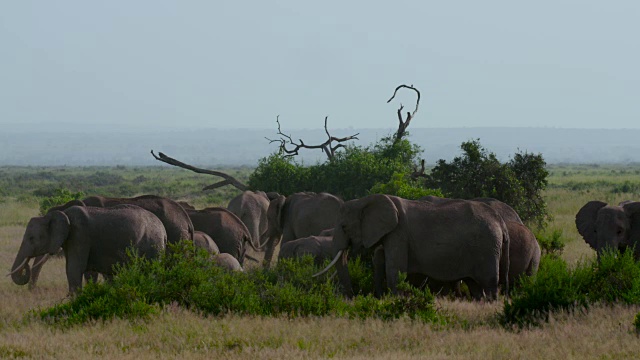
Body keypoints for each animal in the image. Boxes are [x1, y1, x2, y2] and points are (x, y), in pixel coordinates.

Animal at [10, 205, 165, 296]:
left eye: (31, 238)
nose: (25, 266)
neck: (63, 214)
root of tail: (163, 230)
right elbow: (85, 271)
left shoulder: (80, 235)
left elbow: (74, 269)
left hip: (152, 244)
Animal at [316, 195, 510, 300]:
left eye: (344, 227)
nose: (352, 297)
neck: (365, 200)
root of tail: (501, 223)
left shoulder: (399, 233)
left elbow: (395, 269)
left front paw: (394, 300)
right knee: (474, 285)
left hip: (487, 247)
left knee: (489, 283)